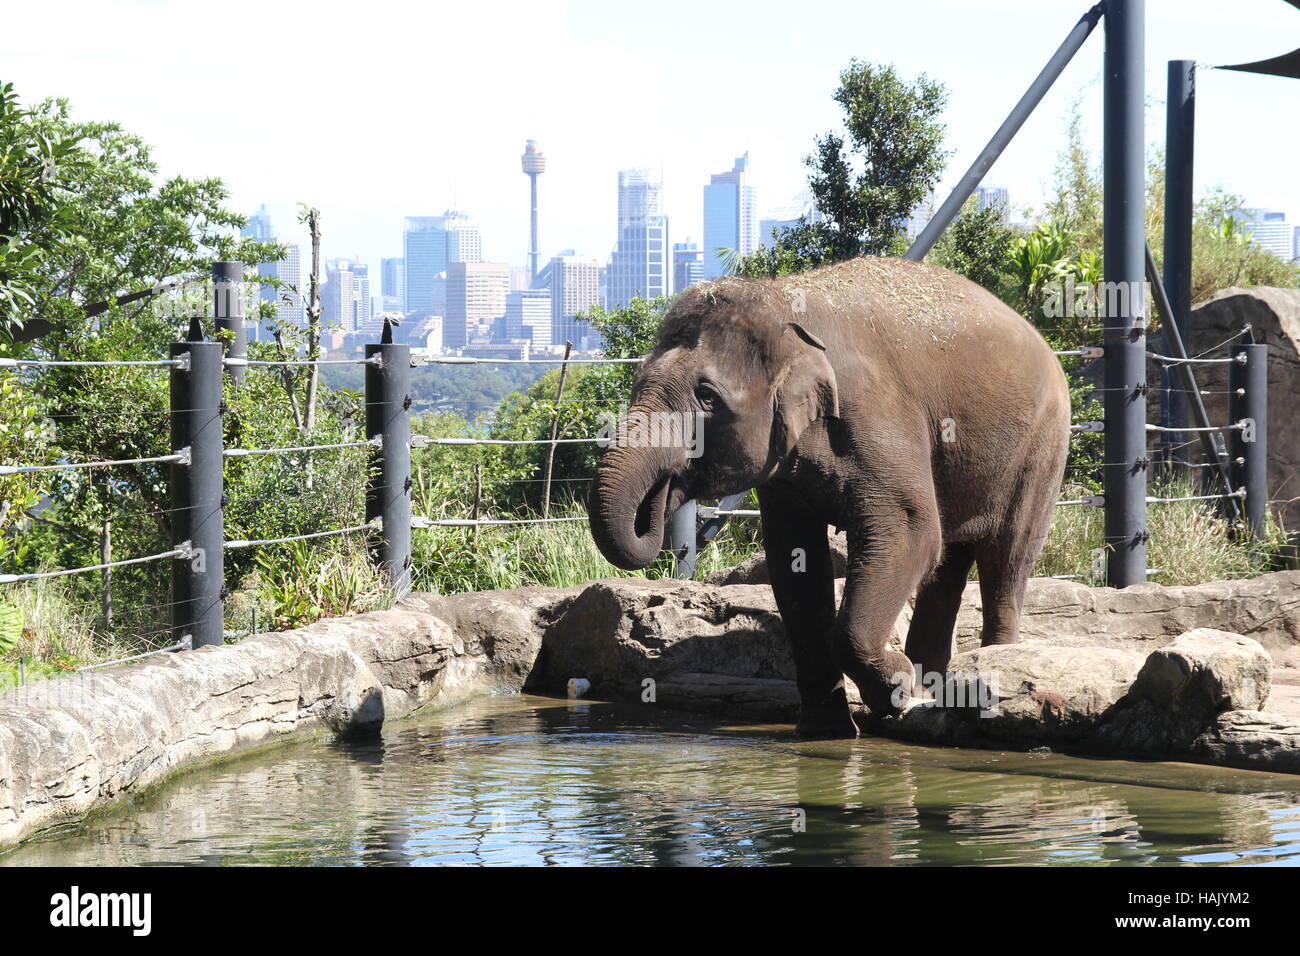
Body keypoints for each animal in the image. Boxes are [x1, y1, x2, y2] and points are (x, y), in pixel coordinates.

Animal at [587, 256, 1066, 738]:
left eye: (706, 396)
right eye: (637, 382)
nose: (663, 491)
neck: (782, 302)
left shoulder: (877, 413)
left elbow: (911, 530)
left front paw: (894, 690)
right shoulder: (784, 465)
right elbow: (795, 560)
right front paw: (828, 731)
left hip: (1042, 448)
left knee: (1007, 556)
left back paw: (989, 666)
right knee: (949, 562)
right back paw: (931, 687)